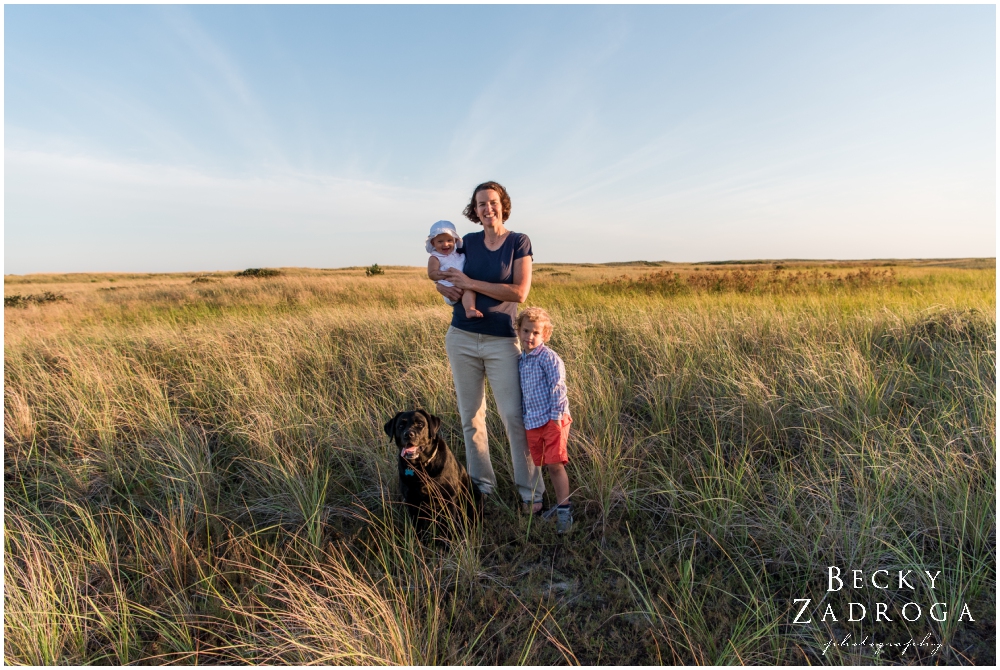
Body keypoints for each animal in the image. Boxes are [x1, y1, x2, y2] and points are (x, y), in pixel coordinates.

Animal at [382, 410, 484, 540]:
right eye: (400, 426)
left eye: (420, 424)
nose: (408, 434)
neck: (421, 468)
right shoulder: (412, 503)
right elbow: (418, 530)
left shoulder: (448, 499)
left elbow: (450, 528)